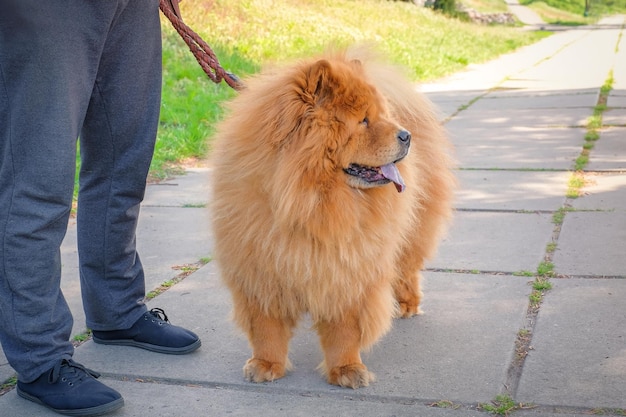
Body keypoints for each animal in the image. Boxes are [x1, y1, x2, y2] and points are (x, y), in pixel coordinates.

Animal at [210, 48, 454, 386]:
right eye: (363, 120)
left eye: (381, 116)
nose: (406, 135)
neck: (310, 203)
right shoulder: (261, 270)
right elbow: (266, 327)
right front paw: (266, 364)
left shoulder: (348, 271)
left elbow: (345, 331)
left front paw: (347, 370)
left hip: (411, 234)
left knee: (407, 269)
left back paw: (406, 304)